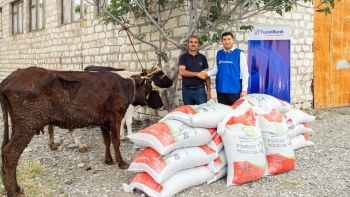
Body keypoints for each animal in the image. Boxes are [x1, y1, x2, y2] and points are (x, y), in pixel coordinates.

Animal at [0, 66, 167, 195]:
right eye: (152, 89)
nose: (162, 105)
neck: (124, 85)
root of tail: (12, 76)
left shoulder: (103, 122)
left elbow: (107, 141)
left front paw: (108, 160)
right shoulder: (115, 118)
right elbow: (116, 141)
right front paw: (121, 162)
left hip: (17, 125)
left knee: (5, 149)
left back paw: (15, 188)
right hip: (27, 125)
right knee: (10, 152)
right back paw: (13, 191)